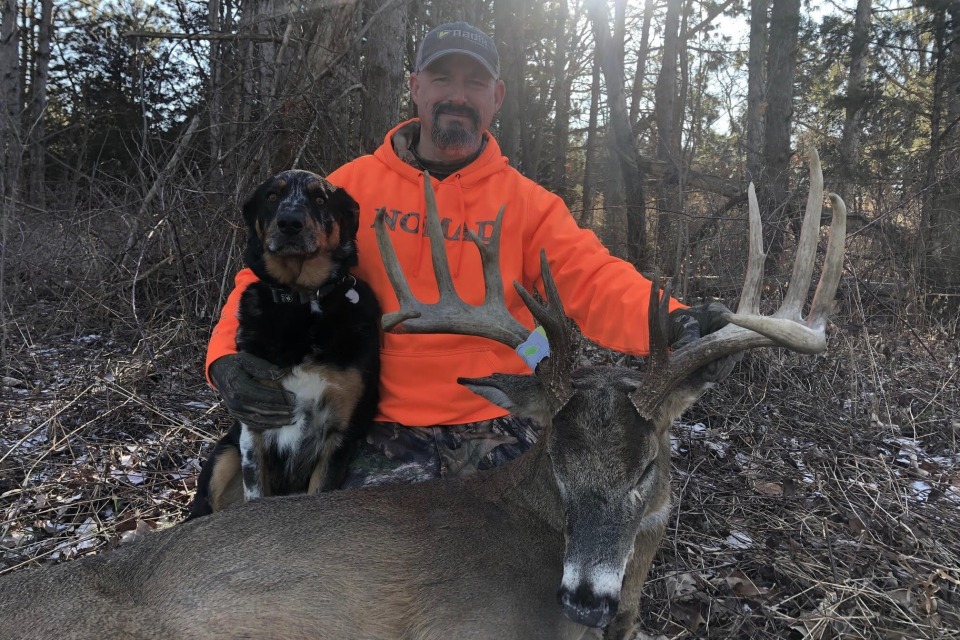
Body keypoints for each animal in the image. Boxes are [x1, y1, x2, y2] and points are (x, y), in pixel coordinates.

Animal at [189, 171, 380, 520]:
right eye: (272, 197)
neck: (301, 301)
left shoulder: (340, 431)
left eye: (320, 199)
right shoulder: (253, 429)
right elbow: (255, 492)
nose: (290, 222)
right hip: (223, 457)